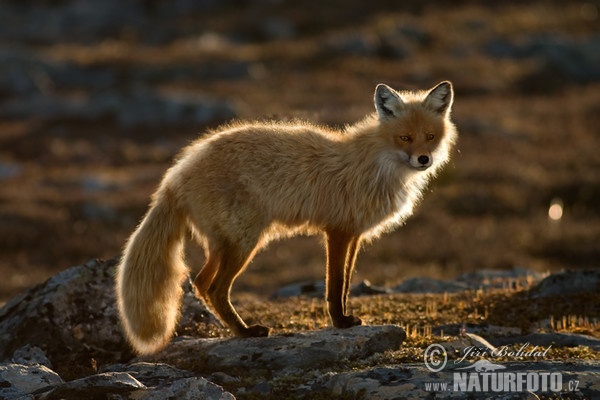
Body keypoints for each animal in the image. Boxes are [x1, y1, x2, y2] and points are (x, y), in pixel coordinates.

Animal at [115, 80, 458, 354]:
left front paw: (344, 319)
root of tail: (176, 175)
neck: (376, 165)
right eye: (405, 138)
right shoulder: (337, 230)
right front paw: (340, 323)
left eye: (430, 136)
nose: (423, 160)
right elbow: (335, 285)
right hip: (244, 241)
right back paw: (245, 332)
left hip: (224, 243)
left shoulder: (354, 233)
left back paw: (235, 328)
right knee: (214, 288)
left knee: (200, 282)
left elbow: (347, 282)